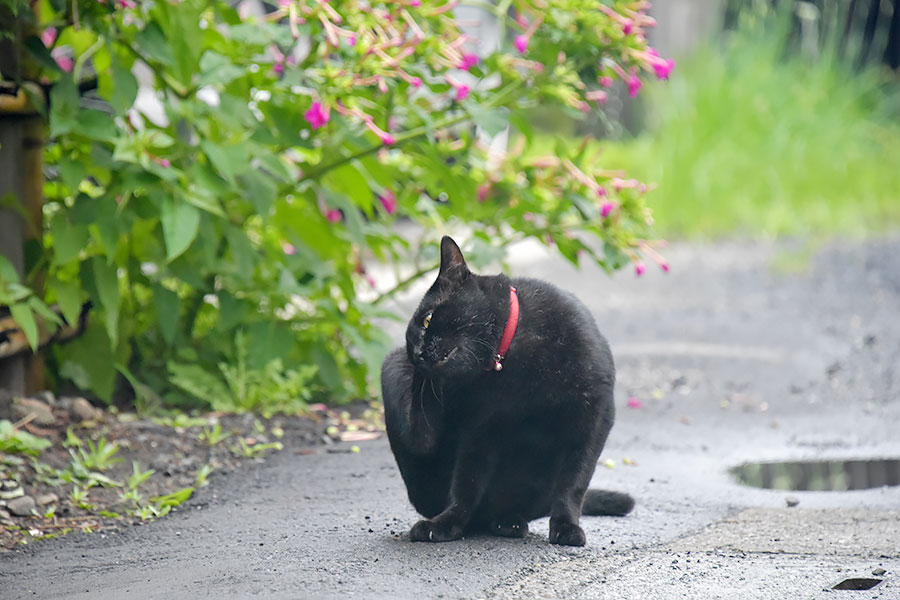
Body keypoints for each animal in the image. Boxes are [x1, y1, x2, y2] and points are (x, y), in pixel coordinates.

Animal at [380, 237, 632, 548]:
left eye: (427, 320)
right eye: (412, 339)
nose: (415, 353)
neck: (516, 360)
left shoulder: (593, 419)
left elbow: (574, 482)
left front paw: (566, 526)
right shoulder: (480, 429)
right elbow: (466, 484)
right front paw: (447, 524)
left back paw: (509, 522)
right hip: (391, 367)